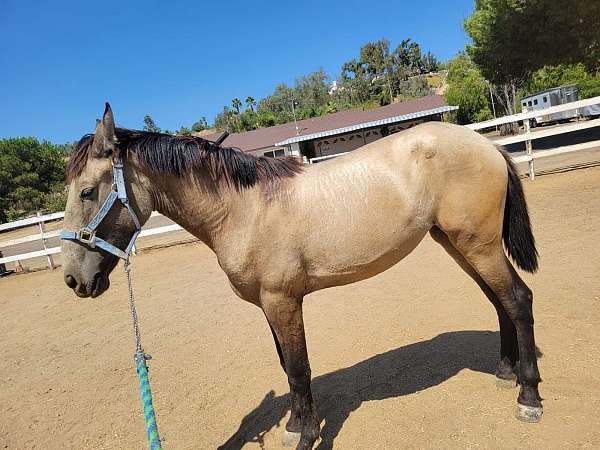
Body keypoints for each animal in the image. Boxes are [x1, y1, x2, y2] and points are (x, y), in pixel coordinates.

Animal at [62, 103, 544, 448]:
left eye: (87, 191)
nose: (73, 280)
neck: (243, 208)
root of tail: (486, 144)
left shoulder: (282, 301)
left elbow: (298, 367)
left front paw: (306, 435)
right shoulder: (268, 305)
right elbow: (286, 365)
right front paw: (296, 424)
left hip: (477, 245)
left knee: (518, 299)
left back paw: (529, 397)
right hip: (459, 245)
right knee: (499, 300)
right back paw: (507, 371)